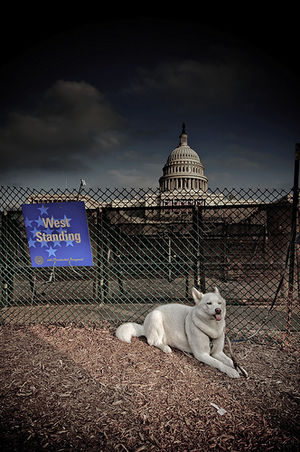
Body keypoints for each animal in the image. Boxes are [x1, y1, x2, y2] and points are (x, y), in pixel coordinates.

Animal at [115, 288, 246, 380]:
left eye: (219, 303)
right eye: (209, 303)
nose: (218, 310)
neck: (211, 329)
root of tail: (144, 327)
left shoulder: (218, 352)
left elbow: (230, 361)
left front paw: (241, 369)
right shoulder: (202, 354)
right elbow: (219, 363)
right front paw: (231, 371)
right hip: (156, 317)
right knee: (152, 341)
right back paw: (166, 348)